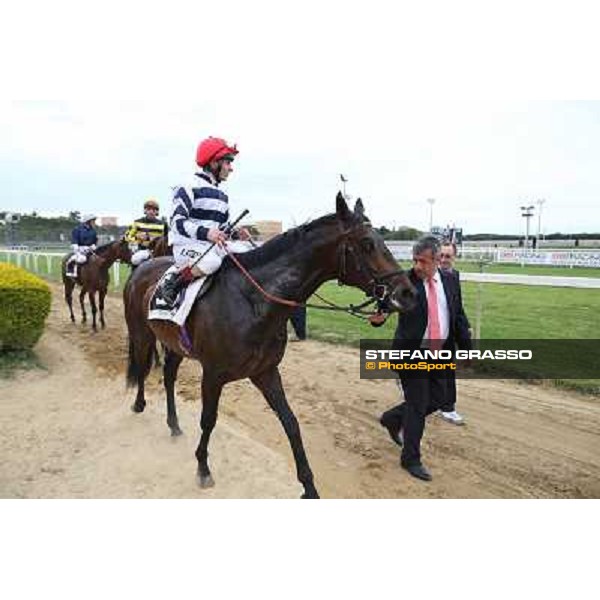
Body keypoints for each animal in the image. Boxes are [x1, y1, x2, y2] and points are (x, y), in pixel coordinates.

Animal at [124, 195, 414, 500]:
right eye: (367, 243)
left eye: (382, 240)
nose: (408, 292)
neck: (253, 302)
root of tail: (142, 268)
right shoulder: (212, 375)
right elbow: (208, 419)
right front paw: (203, 469)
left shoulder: (266, 372)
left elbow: (291, 423)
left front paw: (309, 486)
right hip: (141, 333)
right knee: (142, 367)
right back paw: (139, 404)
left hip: (175, 344)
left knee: (168, 375)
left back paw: (174, 425)